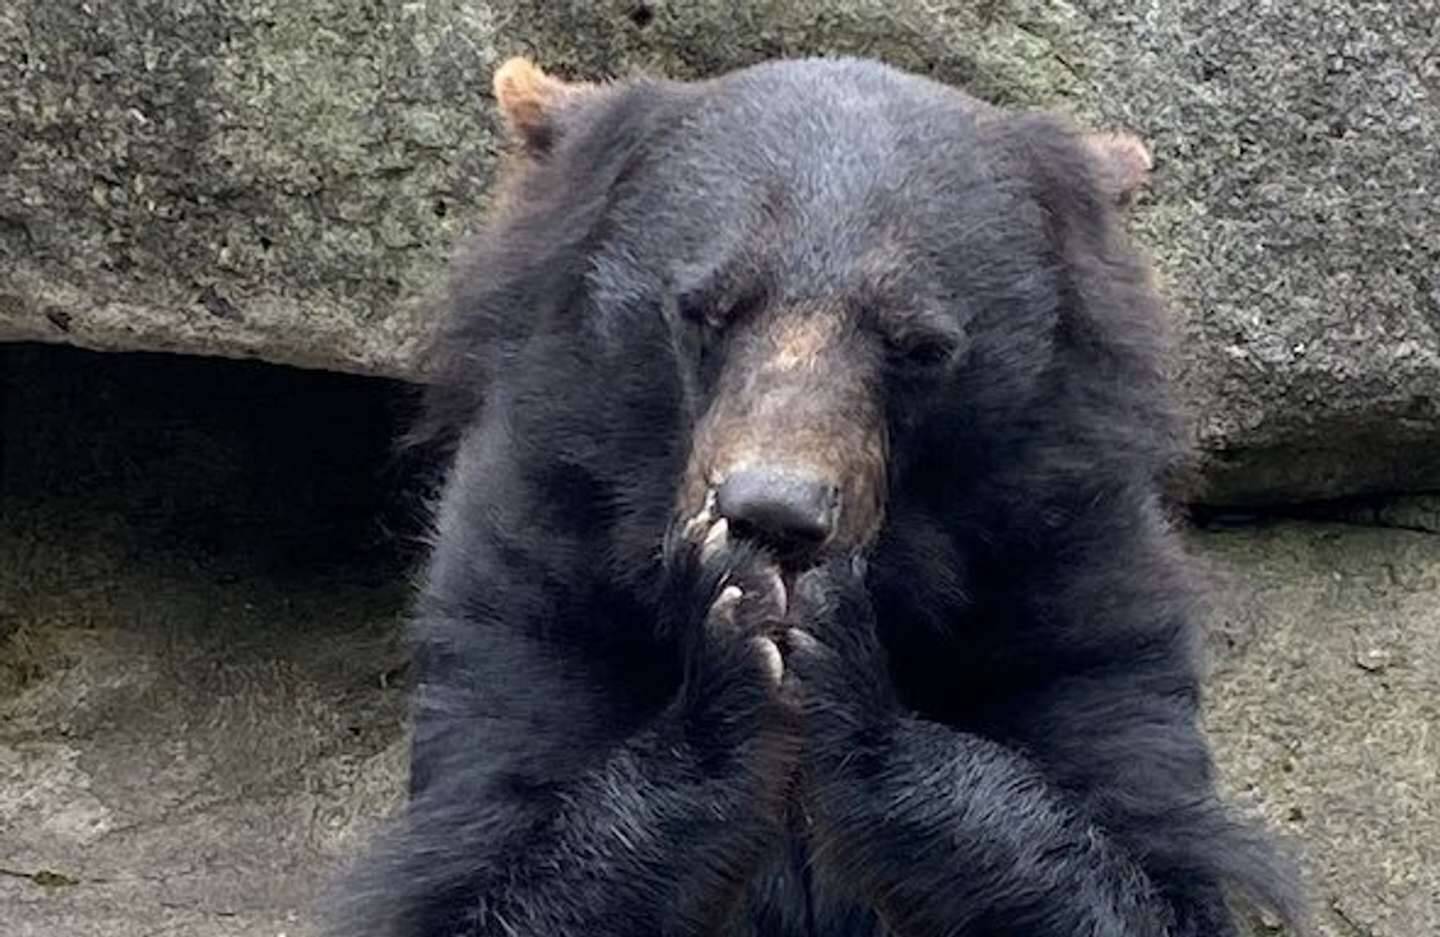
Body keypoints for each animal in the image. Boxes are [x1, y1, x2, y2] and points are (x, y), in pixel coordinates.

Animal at [336, 56, 1303, 937]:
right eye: (706, 307)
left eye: (917, 343)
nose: (774, 512)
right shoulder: (535, 570)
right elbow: (486, 854)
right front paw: (728, 645)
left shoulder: (1072, 571)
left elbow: (1143, 863)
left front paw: (843, 662)